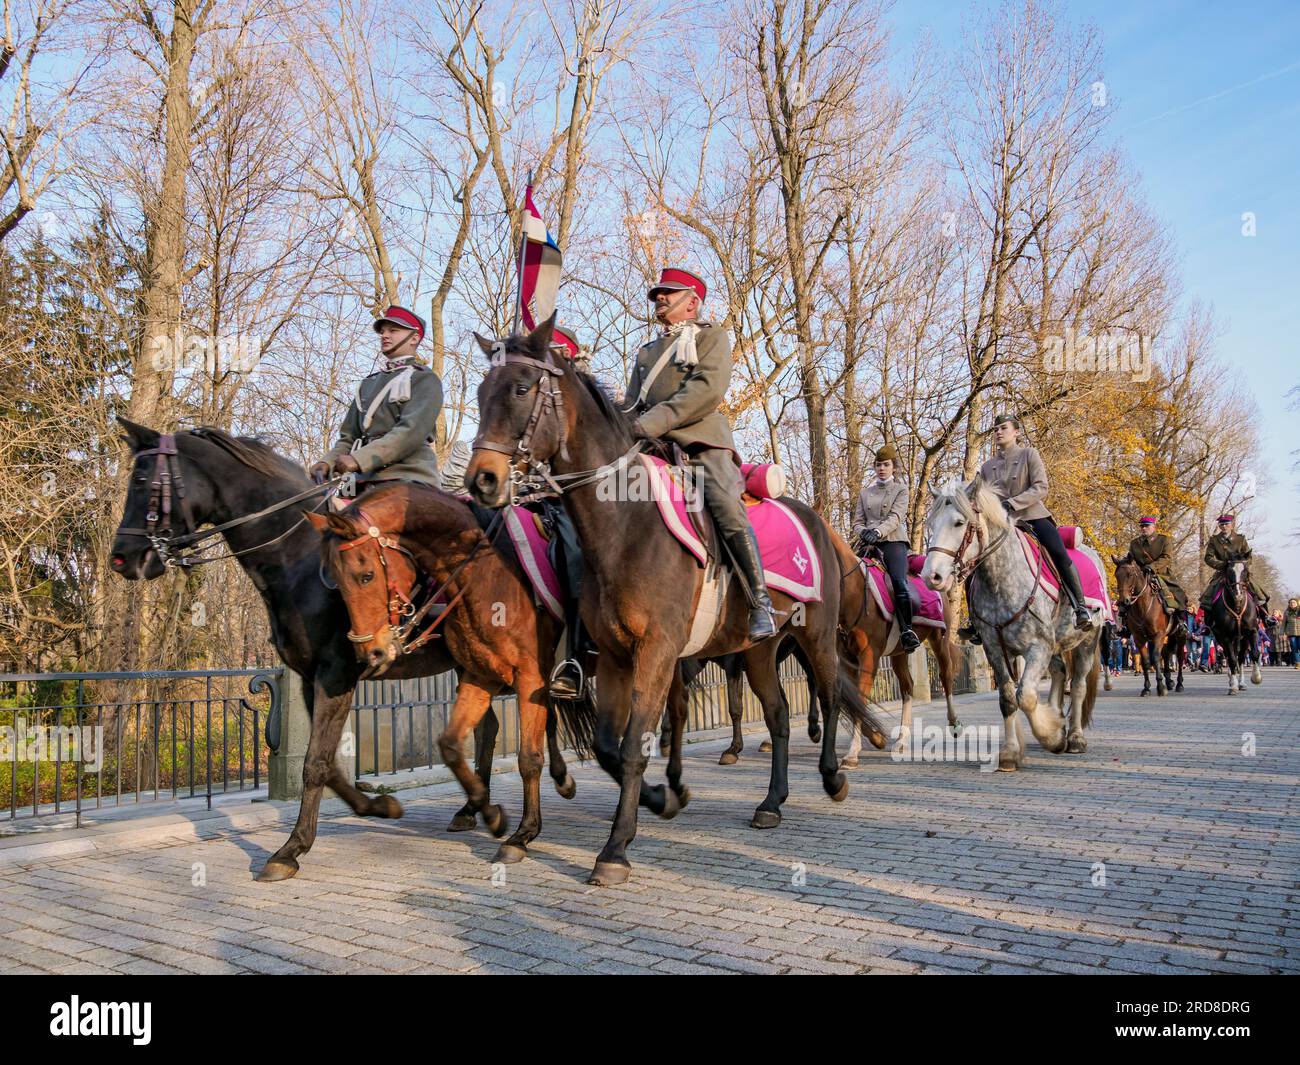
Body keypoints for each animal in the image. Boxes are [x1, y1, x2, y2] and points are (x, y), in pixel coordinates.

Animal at [110, 421, 579, 879]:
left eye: (141, 481)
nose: (122, 558)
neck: (294, 559)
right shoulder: (307, 678)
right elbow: (329, 764)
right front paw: (377, 805)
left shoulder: (335, 674)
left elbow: (315, 762)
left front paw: (292, 848)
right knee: (492, 729)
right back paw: (475, 807)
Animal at [462, 321, 889, 889]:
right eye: (481, 392)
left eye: (521, 388)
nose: (482, 479)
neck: (626, 526)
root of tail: (820, 522)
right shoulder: (616, 656)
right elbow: (609, 745)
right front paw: (662, 799)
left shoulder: (658, 652)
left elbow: (635, 743)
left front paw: (615, 849)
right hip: (759, 648)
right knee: (777, 715)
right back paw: (771, 803)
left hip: (814, 636)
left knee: (829, 694)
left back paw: (833, 777)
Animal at [915, 478, 1097, 769]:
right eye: (931, 524)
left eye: (958, 522)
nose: (932, 576)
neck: (1002, 580)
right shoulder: (995, 648)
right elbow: (1009, 699)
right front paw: (1012, 752)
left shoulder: (1038, 647)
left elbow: (1027, 697)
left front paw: (1053, 737)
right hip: (1056, 645)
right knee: (1059, 672)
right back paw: (1057, 715)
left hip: (1088, 640)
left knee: (1078, 685)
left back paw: (1076, 738)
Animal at [1112, 559, 1185, 702]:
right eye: (1117, 575)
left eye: (1130, 574)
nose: (1124, 602)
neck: (1143, 606)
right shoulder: (1139, 638)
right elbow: (1146, 661)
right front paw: (1146, 688)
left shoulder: (1158, 635)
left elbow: (1155, 658)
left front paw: (1160, 687)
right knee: (1166, 655)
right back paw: (1169, 681)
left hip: (1179, 637)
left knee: (1179, 657)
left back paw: (1179, 684)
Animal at [1201, 559, 1263, 702]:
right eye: (1229, 572)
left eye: (1245, 571)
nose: (1238, 595)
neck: (1237, 606)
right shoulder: (1226, 636)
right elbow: (1232, 659)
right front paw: (1233, 687)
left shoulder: (1252, 632)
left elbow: (1254, 654)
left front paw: (1256, 678)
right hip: (1222, 639)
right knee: (1230, 657)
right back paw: (1232, 680)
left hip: (1242, 639)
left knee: (1240, 657)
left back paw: (1242, 683)